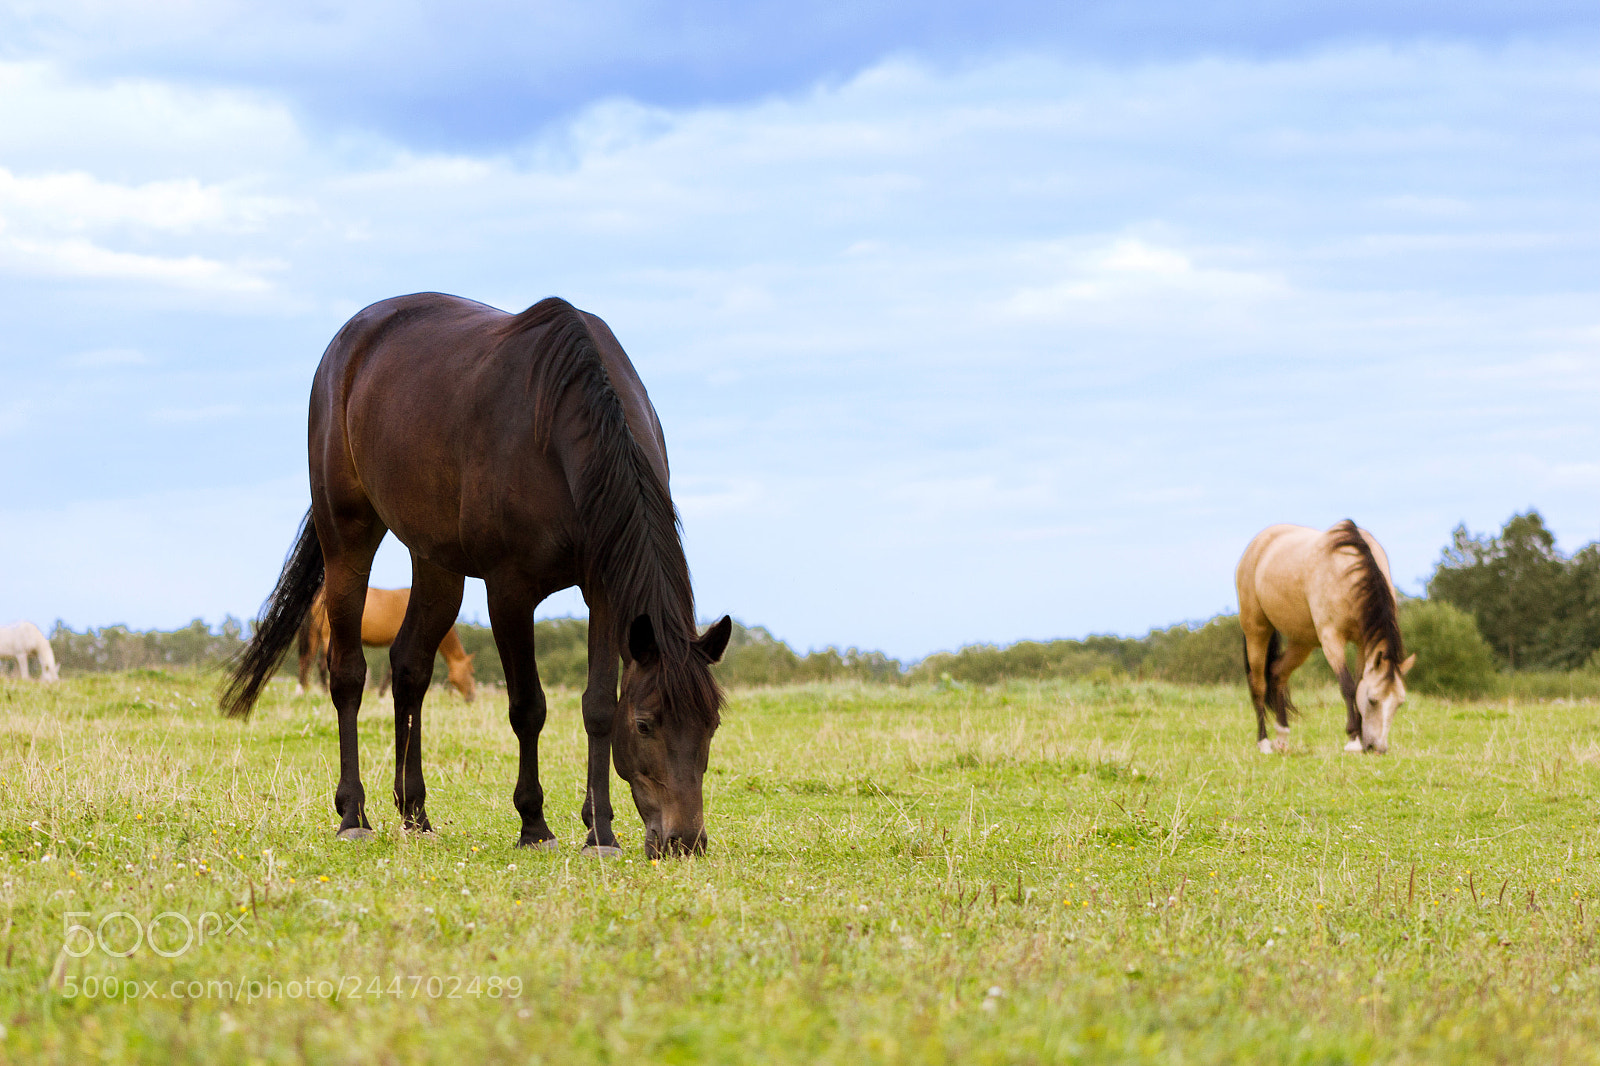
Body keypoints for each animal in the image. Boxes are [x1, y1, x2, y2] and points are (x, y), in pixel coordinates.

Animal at [297, 586, 477, 703]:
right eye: (471, 672)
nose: (471, 697)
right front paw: (383, 695)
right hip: (327, 636)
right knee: (320, 664)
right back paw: (324, 692)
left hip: (315, 634)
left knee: (306, 660)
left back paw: (304, 689)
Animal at [1236, 520, 1415, 755]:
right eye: (1373, 700)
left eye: (1399, 703)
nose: (1378, 748)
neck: (1347, 570)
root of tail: (1256, 545)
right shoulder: (1331, 639)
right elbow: (1348, 687)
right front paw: (1353, 740)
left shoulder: (1361, 642)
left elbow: (1358, 681)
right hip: (1257, 631)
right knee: (1258, 684)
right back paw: (1264, 742)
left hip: (1302, 641)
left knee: (1277, 673)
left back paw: (1282, 736)